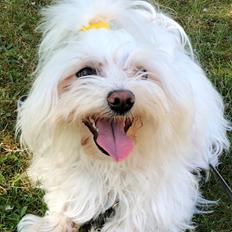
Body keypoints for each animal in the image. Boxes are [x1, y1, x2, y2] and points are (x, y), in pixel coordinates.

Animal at [16, 0, 230, 232]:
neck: (109, 162)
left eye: (143, 73)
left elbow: (138, 218)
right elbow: (67, 198)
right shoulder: (71, 172)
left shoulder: (157, 192)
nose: (122, 99)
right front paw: (49, 224)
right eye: (85, 72)